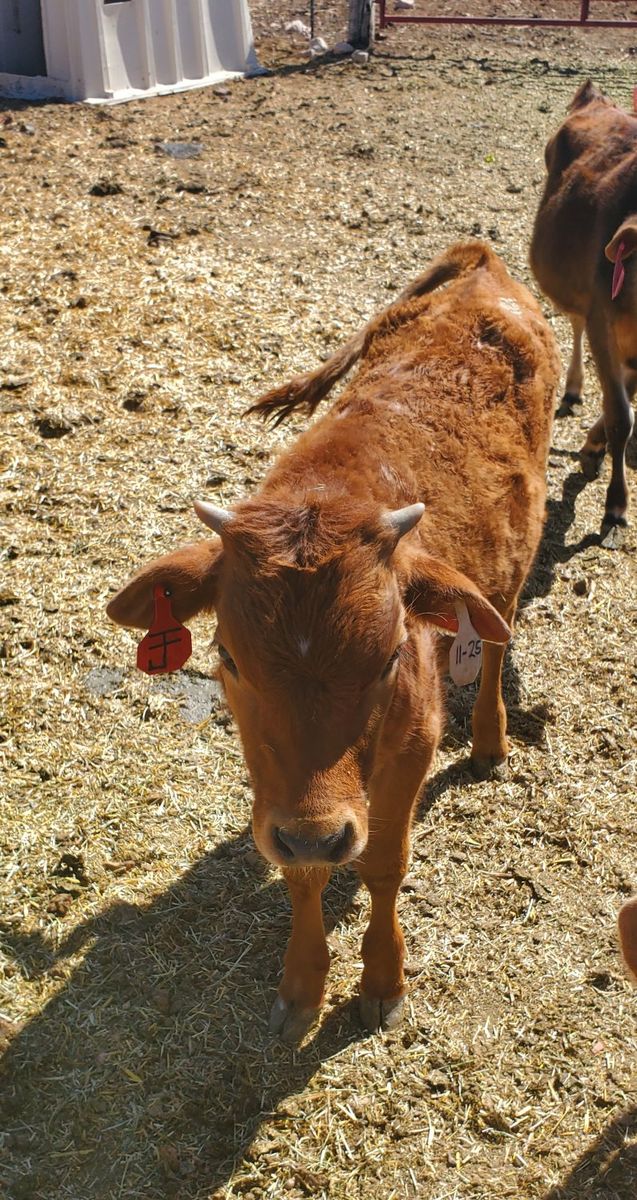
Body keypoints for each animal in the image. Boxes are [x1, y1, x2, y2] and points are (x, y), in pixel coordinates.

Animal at [107, 241, 559, 1043]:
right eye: (227, 657)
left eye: (389, 658)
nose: (318, 831)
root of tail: (480, 263)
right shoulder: (281, 793)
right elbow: (302, 871)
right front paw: (301, 985)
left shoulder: (412, 739)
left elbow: (382, 862)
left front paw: (381, 980)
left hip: (508, 572)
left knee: (495, 641)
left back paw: (489, 740)